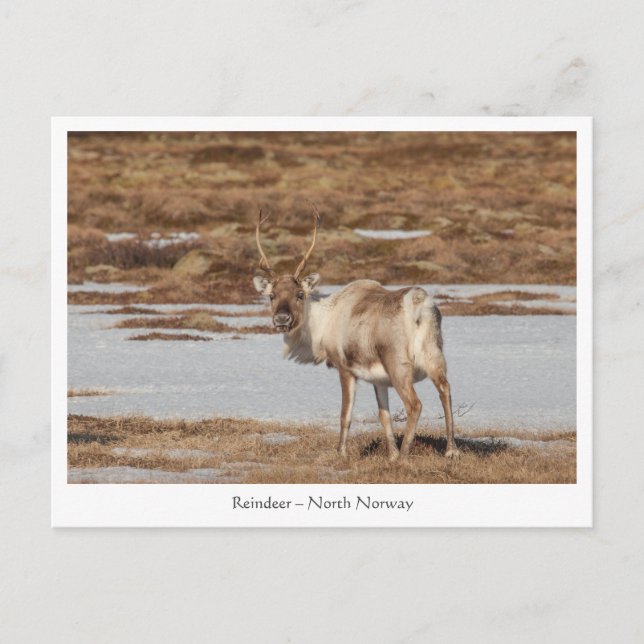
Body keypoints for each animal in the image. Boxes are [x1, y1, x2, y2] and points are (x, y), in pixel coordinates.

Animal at [252, 207, 460, 461]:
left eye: (300, 294)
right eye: (272, 296)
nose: (282, 319)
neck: (323, 324)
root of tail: (420, 307)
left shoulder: (345, 368)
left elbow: (345, 414)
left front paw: (341, 452)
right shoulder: (379, 378)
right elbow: (384, 415)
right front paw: (390, 455)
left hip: (399, 365)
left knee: (415, 404)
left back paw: (404, 456)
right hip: (434, 356)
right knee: (445, 389)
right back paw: (450, 450)